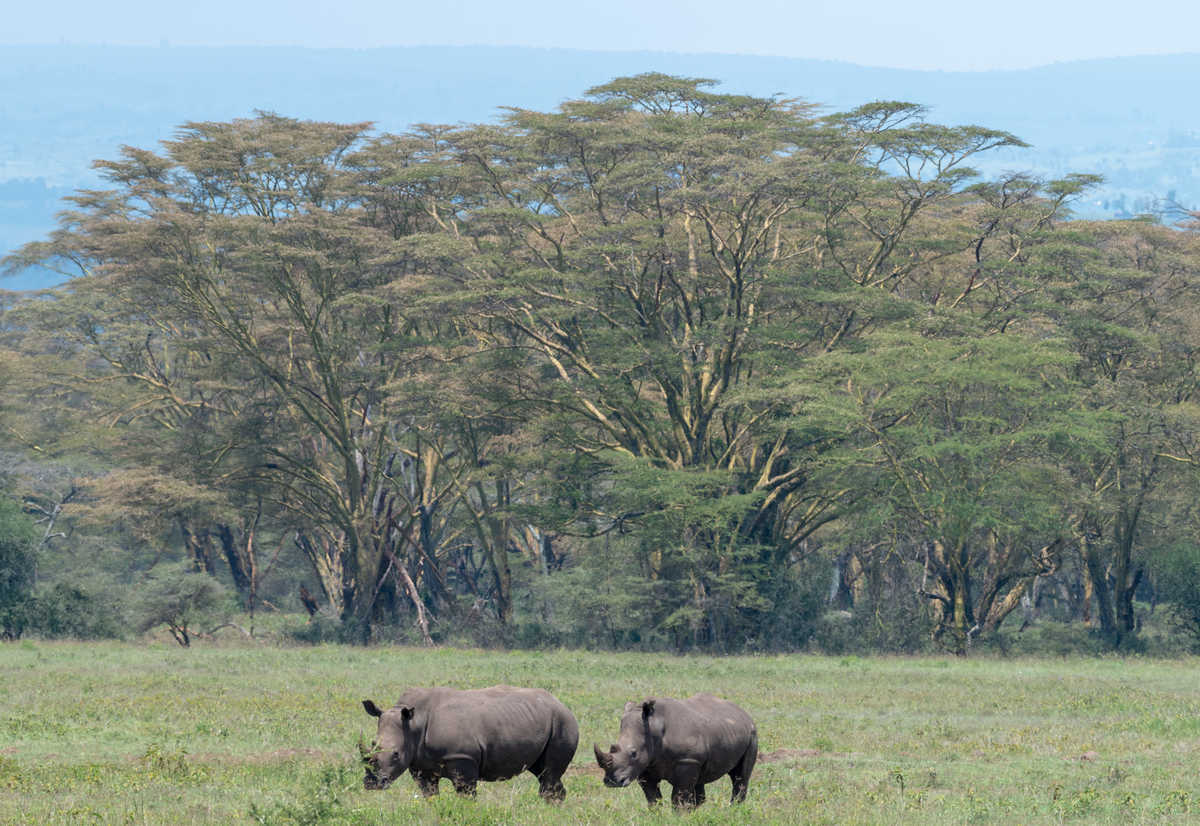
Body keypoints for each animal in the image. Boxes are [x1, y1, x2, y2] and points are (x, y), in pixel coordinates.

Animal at [357, 686, 578, 801]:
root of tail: (562, 704)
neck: (414, 724)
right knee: (543, 773)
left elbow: (466, 795)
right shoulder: (420, 764)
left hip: (562, 721)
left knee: (549, 774)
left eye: (396, 754)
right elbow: (429, 794)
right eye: (372, 744)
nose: (372, 784)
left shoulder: (462, 758)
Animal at [592, 691, 753, 811]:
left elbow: (678, 797)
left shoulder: (687, 760)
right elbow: (653, 797)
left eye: (634, 753)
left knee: (740, 777)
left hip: (752, 733)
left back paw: (735, 810)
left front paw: (679, 817)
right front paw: (657, 816)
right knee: (700, 781)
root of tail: (743, 712)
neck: (654, 727)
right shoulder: (645, 764)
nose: (612, 782)